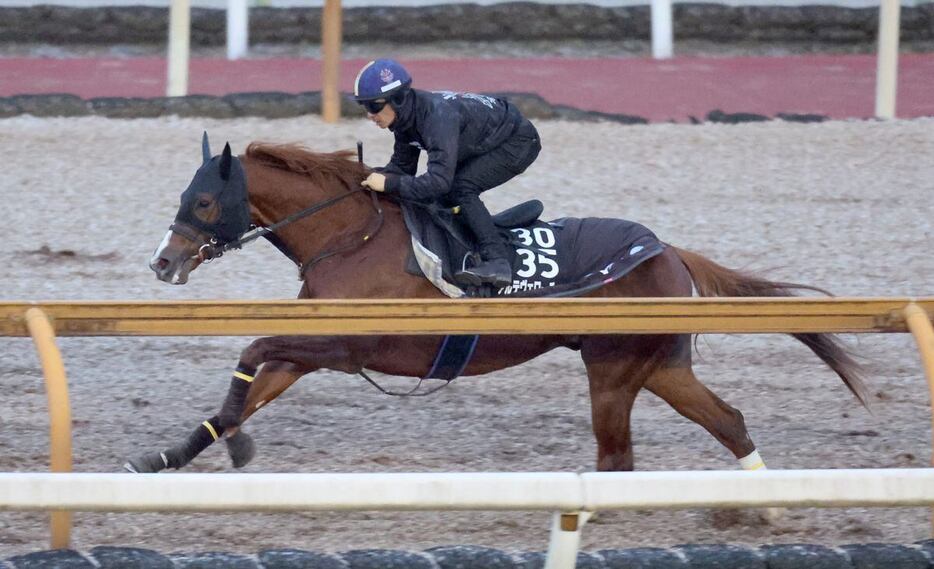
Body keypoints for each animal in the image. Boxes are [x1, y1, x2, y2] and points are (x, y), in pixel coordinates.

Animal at [126, 135, 872, 478]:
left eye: (202, 200)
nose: (163, 261)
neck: (348, 235)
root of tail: (669, 250)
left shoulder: (348, 344)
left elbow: (252, 349)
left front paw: (237, 443)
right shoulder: (315, 347)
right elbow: (251, 381)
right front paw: (166, 456)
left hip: (614, 371)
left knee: (618, 457)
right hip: (659, 366)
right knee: (729, 420)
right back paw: (759, 507)